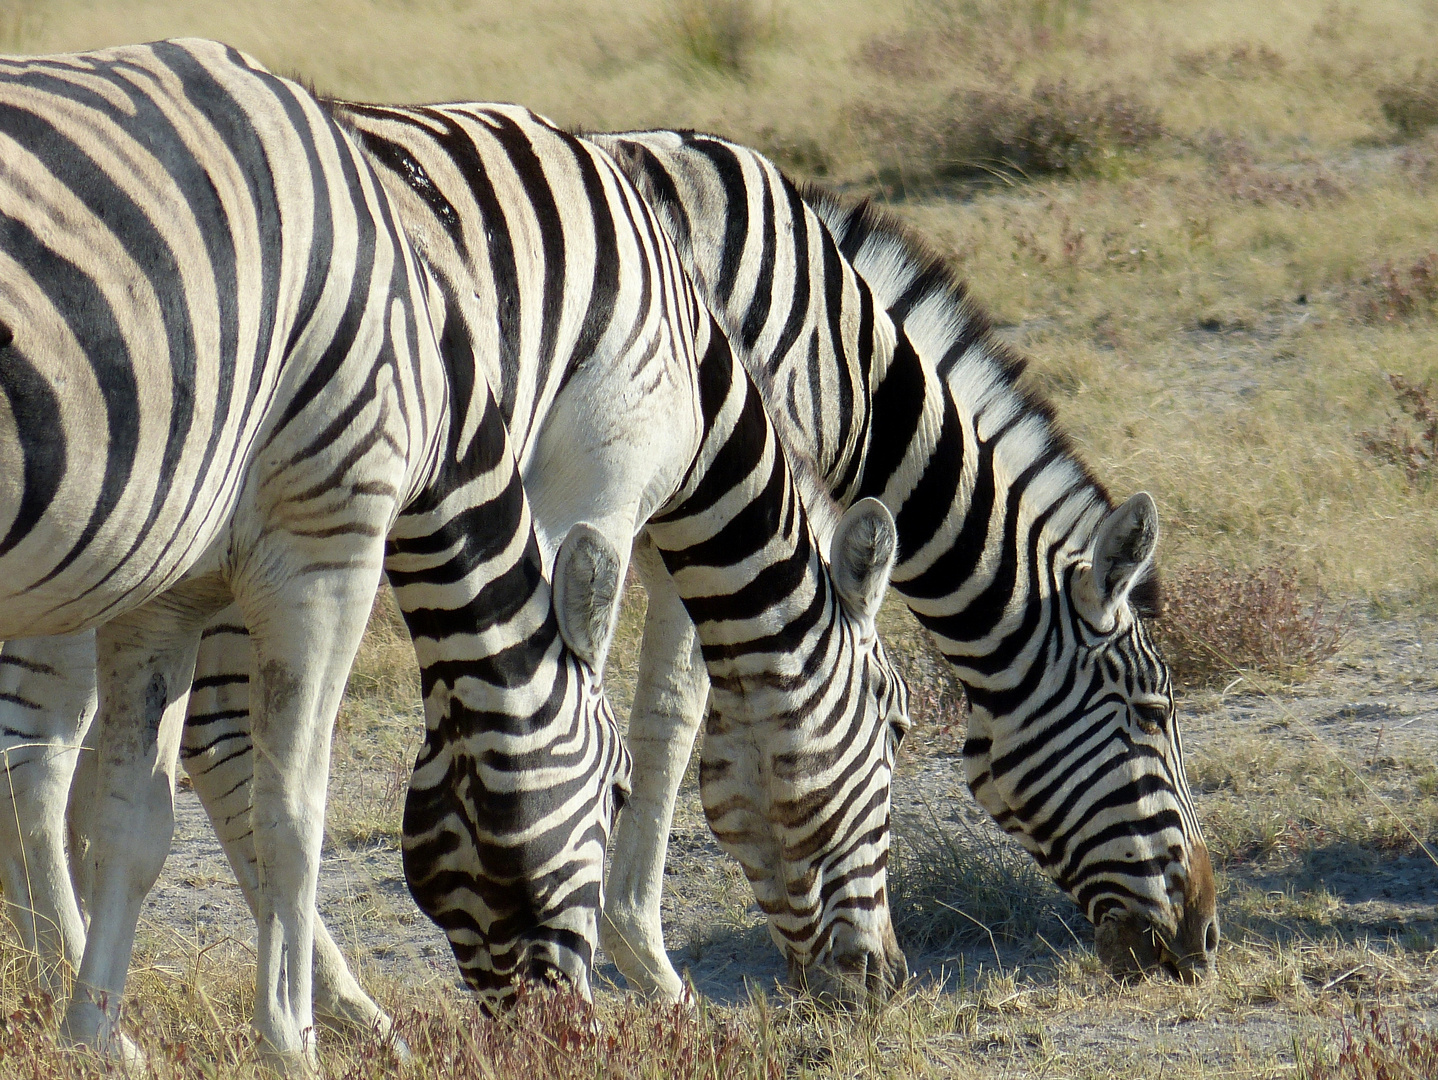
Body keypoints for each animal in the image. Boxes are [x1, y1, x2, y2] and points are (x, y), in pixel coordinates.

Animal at [0, 35, 635, 1075]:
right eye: (618, 794)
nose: (571, 1031)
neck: (427, 363)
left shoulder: (163, 591)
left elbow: (132, 819)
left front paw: (98, 1037)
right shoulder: (326, 548)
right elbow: (293, 814)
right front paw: (292, 1039)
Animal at [586, 124, 1225, 989]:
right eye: (1155, 712)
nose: (1204, 937)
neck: (848, 370)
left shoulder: (694, 526)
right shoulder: (721, 509)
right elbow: (677, 718)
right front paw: (643, 957)